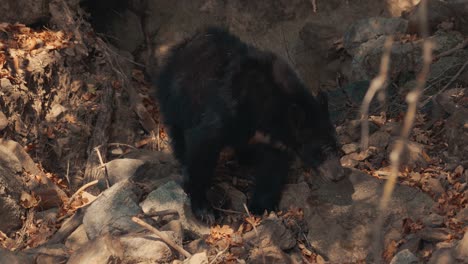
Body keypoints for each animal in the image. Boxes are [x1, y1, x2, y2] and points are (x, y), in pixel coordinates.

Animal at [153, 27, 344, 223]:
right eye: (323, 150)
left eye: (338, 147)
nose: (338, 175)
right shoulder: (228, 108)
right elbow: (203, 143)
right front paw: (204, 209)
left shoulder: (275, 138)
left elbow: (273, 165)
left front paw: (259, 206)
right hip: (178, 98)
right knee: (179, 135)